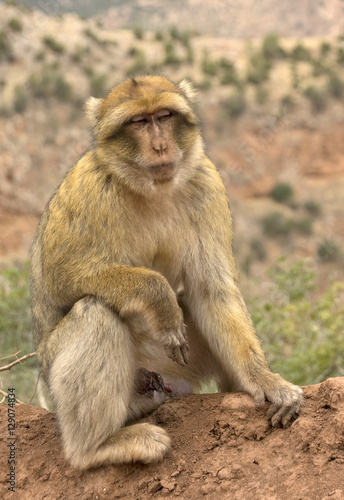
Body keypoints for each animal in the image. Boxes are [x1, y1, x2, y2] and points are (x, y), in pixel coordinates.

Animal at [30, 74, 304, 468]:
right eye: (138, 122)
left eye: (164, 116)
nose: (160, 145)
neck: (150, 188)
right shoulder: (89, 189)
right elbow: (59, 280)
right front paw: (158, 295)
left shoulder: (206, 183)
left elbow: (212, 291)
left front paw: (266, 381)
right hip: (65, 373)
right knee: (94, 311)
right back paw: (98, 446)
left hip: (180, 367)